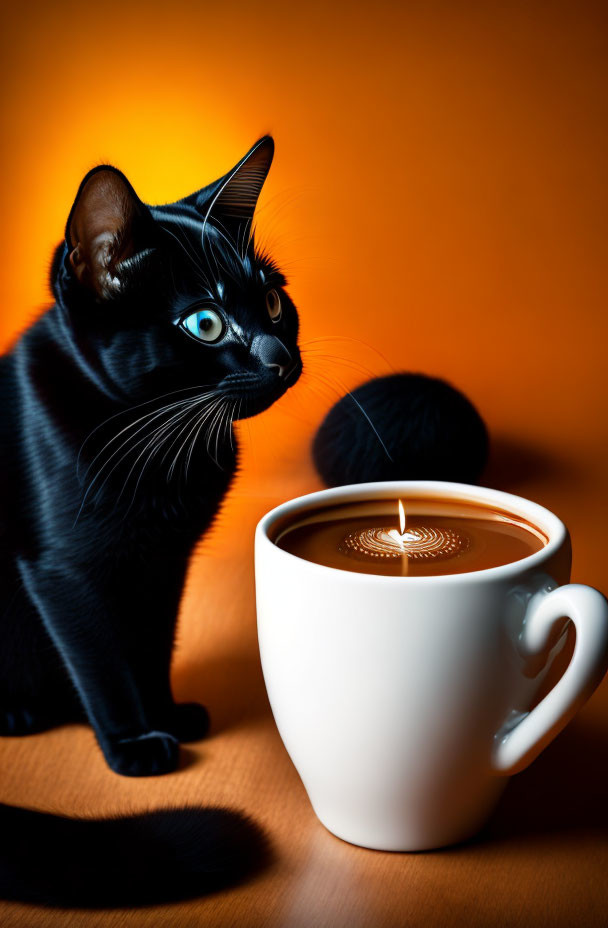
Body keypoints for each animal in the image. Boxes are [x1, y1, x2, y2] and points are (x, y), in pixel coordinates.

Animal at [0, 136, 300, 900]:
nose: (282, 357)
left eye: (274, 302)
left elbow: (150, 642)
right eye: (205, 324)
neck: (161, 451)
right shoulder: (65, 572)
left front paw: (164, 714)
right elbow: (102, 656)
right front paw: (133, 743)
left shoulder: (166, 561)